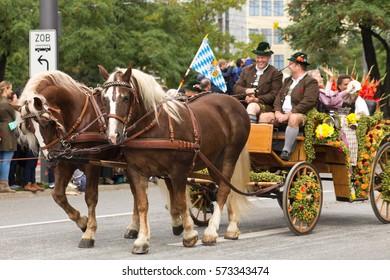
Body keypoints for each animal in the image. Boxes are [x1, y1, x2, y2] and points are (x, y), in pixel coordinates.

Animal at [17, 70, 128, 249]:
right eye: (28, 128)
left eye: (46, 122)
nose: (51, 156)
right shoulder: (65, 163)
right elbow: (58, 195)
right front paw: (82, 222)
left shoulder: (92, 164)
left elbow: (90, 197)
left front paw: (89, 233)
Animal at [96, 65, 250, 254]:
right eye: (104, 98)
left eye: (125, 97)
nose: (113, 135)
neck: (154, 128)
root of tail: (234, 101)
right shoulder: (136, 171)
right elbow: (142, 204)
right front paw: (142, 240)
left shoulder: (178, 171)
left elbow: (180, 202)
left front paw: (189, 234)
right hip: (214, 162)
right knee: (225, 187)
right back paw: (232, 227)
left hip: (229, 156)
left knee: (223, 191)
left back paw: (211, 231)